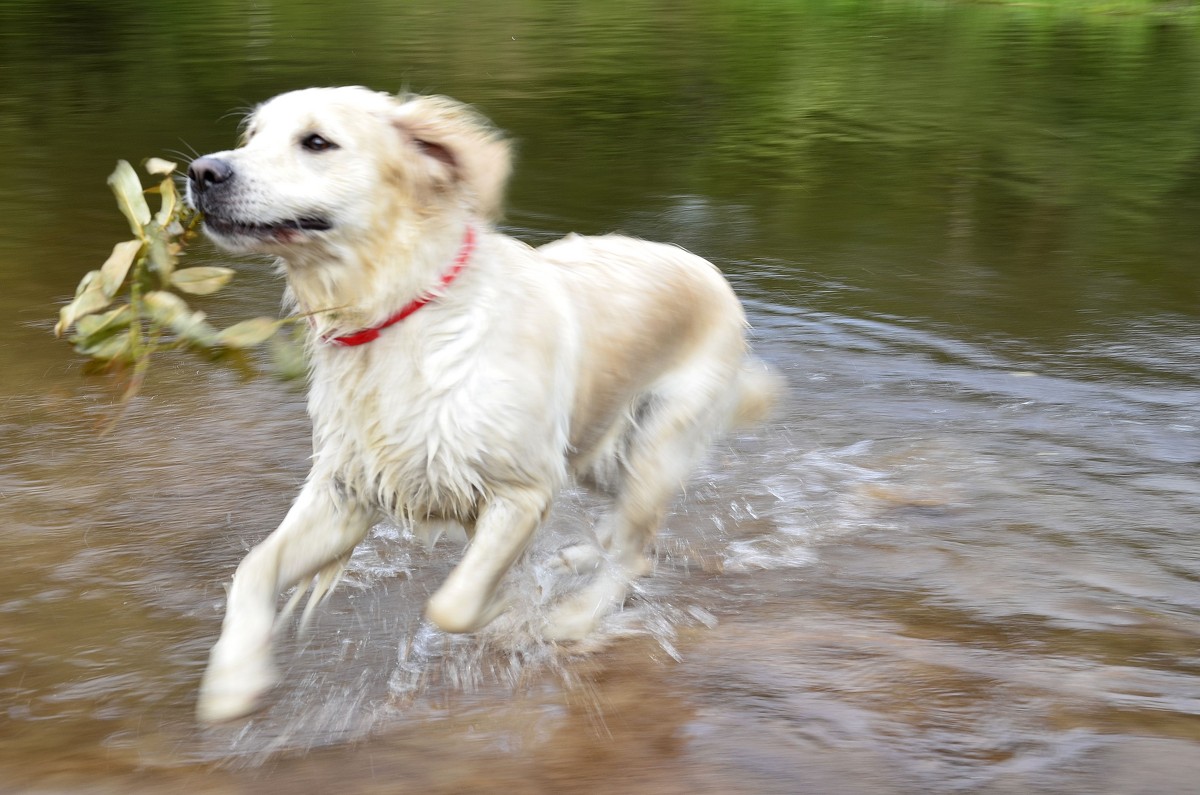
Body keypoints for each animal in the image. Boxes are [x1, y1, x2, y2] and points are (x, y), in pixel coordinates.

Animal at [187, 85, 777, 720]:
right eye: (252, 136)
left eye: (316, 142)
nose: (201, 172)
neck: (399, 311)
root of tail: (707, 268)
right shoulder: (347, 490)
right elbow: (252, 566)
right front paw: (234, 679)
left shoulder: (521, 490)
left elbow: (452, 605)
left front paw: (513, 609)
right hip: (597, 451)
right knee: (625, 534)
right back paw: (577, 559)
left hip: (657, 443)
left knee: (634, 546)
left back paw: (575, 616)